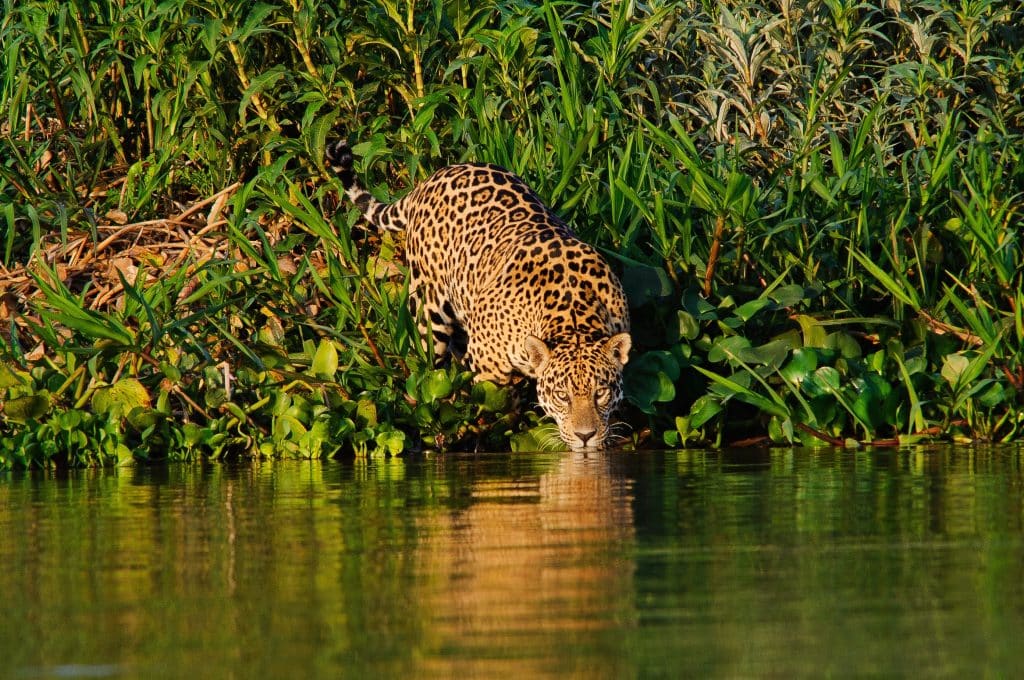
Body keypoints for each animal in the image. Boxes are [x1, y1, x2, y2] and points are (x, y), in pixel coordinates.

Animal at [326, 140, 631, 451]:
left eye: (600, 392)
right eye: (562, 395)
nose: (585, 436)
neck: (573, 313)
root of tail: (432, 178)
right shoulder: (489, 370)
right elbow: (493, 404)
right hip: (429, 316)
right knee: (427, 372)